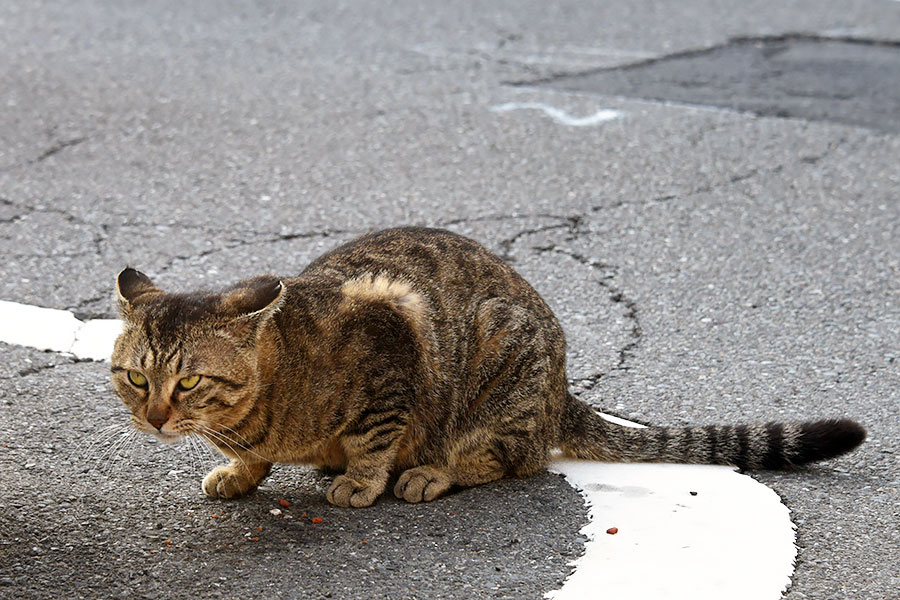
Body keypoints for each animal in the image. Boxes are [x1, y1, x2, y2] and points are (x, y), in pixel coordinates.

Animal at [110, 225, 864, 506]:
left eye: (188, 380)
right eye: (137, 378)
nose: (154, 417)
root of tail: (562, 385)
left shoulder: (395, 339)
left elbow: (375, 437)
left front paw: (359, 480)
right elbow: (254, 458)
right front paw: (241, 472)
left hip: (501, 353)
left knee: (510, 457)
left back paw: (427, 471)